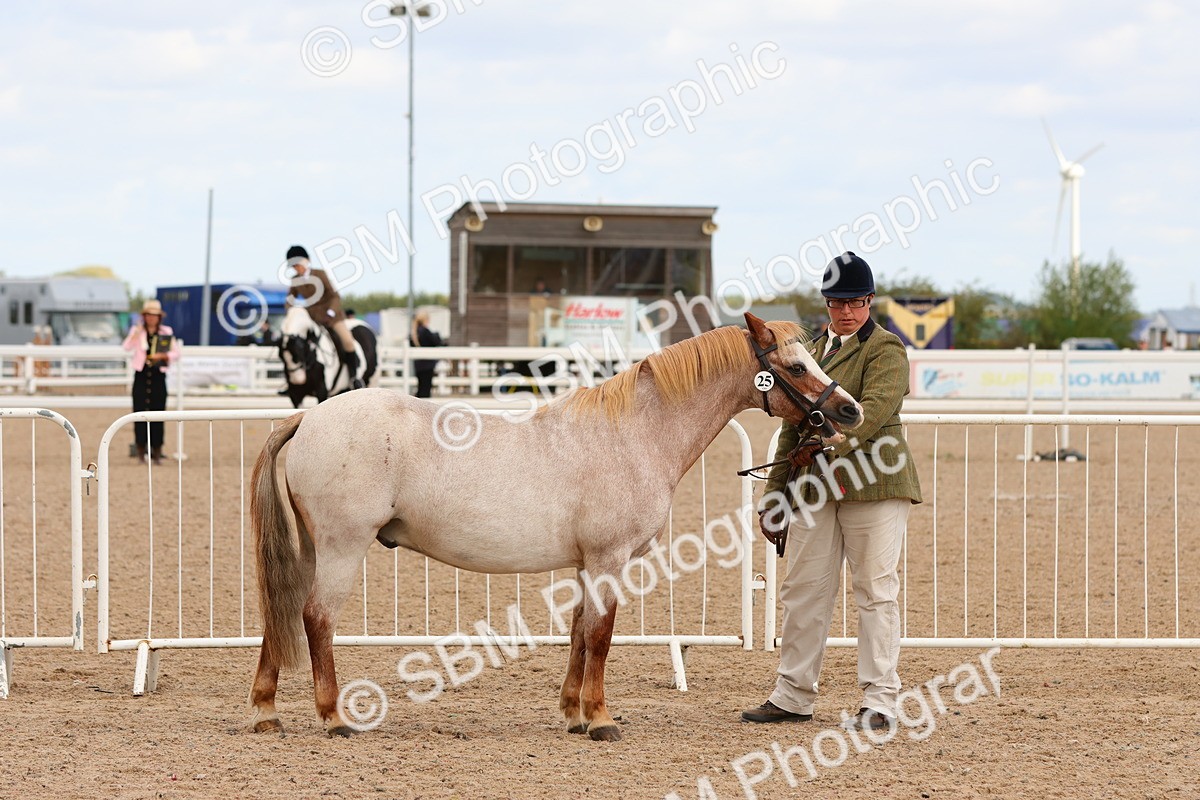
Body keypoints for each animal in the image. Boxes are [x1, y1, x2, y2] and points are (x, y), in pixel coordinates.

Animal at [249, 313, 863, 740]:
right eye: (796, 367)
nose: (850, 411)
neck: (634, 431)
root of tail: (311, 415)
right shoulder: (609, 560)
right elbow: (601, 635)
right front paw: (601, 718)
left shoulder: (588, 564)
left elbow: (577, 631)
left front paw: (573, 713)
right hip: (341, 549)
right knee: (316, 618)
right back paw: (332, 717)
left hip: (312, 550)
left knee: (282, 610)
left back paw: (266, 711)